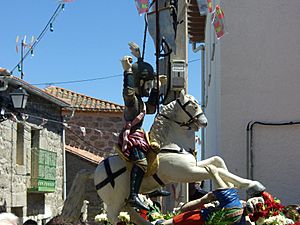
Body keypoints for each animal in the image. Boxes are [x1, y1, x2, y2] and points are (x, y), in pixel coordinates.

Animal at [94, 90, 264, 224]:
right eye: (193, 106)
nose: (204, 122)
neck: (170, 145)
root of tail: (98, 172)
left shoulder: (192, 166)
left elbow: (217, 161)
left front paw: (240, 189)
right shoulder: (185, 172)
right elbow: (215, 169)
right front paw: (250, 187)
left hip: (123, 201)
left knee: (133, 214)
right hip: (115, 203)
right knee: (115, 218)